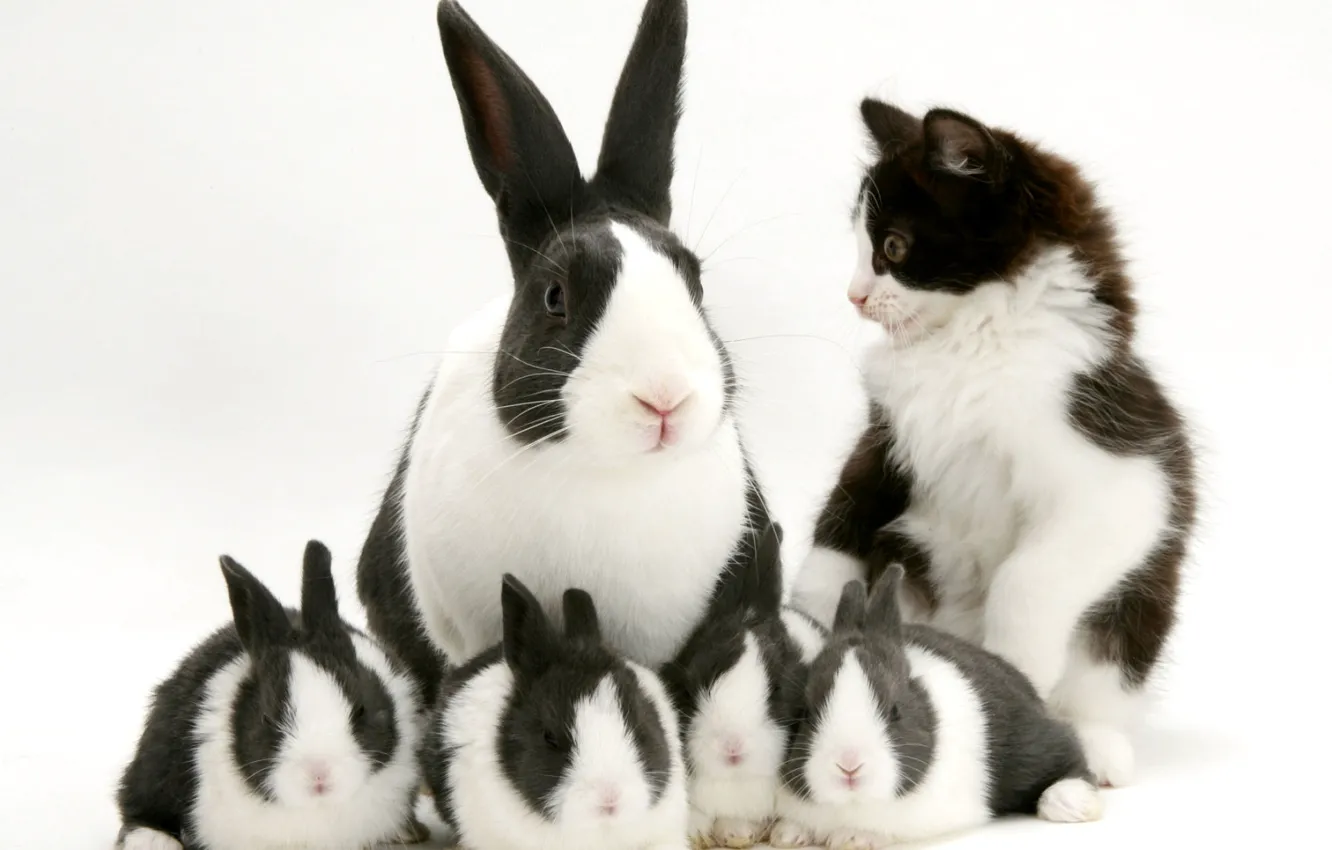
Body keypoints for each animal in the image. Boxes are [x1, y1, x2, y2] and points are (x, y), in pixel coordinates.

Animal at [770, 568, 1103, 850]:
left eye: (895, 711)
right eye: (805, 713)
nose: (849, 766)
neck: (850, 804)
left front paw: (853, 837)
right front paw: (787, 834)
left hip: (1028, 743)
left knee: (1069, 752)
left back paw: (1070, 802)